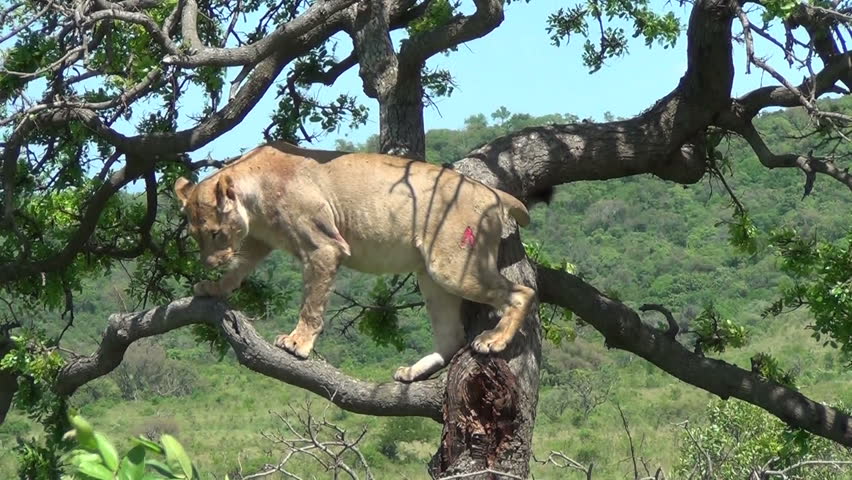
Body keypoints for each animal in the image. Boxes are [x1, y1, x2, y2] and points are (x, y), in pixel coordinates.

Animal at [174, 141, 535, 382]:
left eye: (216, 233)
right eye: (195, 236)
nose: (209, 262)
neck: (253, 198)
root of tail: (490, 191)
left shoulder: (324, 246)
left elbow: (312, 303)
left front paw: (297, 342)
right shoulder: (258, 241)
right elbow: (237, 271)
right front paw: (212, 287)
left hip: (451, 266)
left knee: (522, 293)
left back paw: (494, 339)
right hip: (432, 278)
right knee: (450, 336)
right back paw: (412, 371)